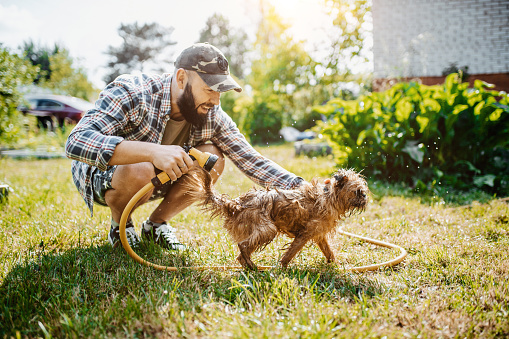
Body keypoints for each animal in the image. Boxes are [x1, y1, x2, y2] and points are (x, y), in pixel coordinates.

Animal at [186, 167, 366, 268]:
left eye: (363, 190)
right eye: (357, 191)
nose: (365, 196)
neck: (329, 197)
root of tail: (236, 204)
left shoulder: (319, 235)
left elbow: (328, 251)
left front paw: (335, 264)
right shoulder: (305, 234)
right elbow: (291, 252)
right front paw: (283, 267)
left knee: (240, 254)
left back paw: (248, 266)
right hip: (268, 229)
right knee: (243, 246)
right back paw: (252, 265)